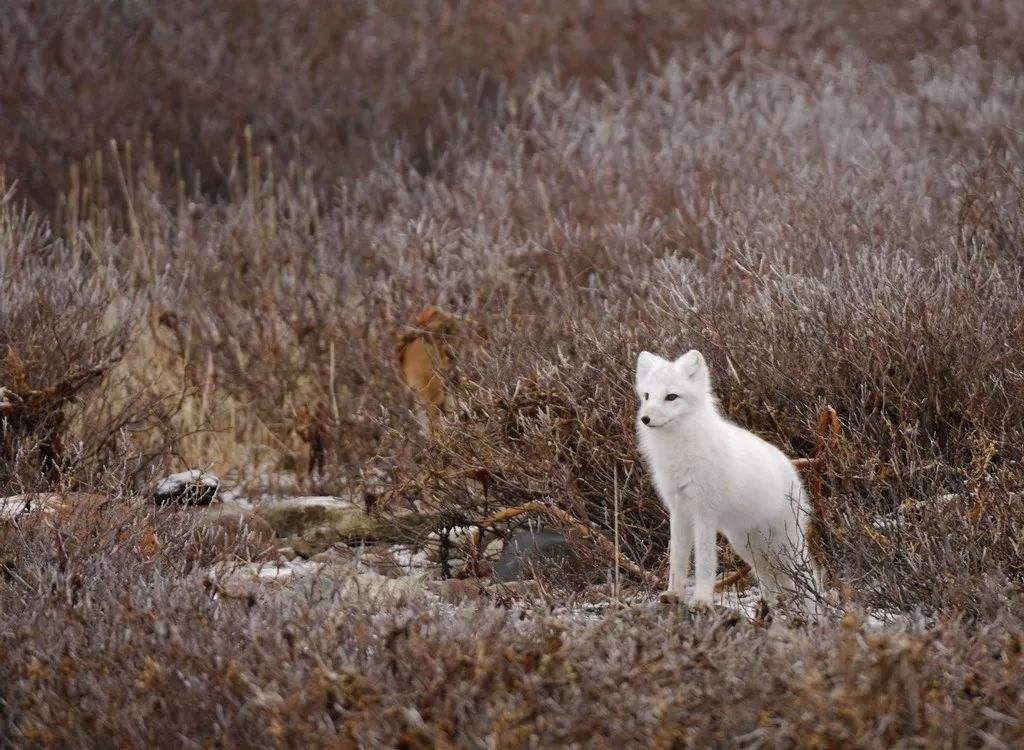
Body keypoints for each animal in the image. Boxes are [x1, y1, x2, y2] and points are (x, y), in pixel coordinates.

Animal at [630, 348, 823, 610]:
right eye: (647, 396)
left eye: (671, 397)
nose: (645, 419)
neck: (680, 447)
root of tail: (791, 468)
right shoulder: (678, 511)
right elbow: (677, 559)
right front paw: (673, 594)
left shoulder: (704, 513)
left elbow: (704, 562)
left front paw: (701, 600)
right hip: (747, 545)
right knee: (769, 578)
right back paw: (772, 607)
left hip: (786, 544)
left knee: (808, 574)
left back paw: (815, 610)